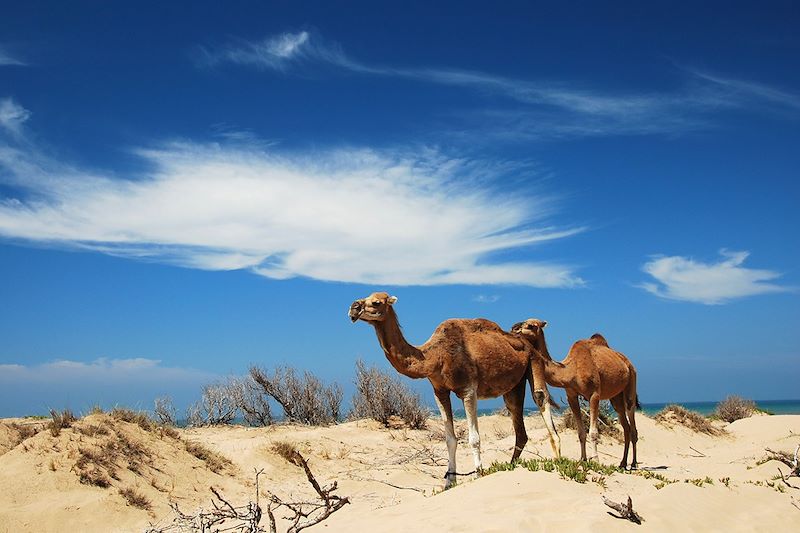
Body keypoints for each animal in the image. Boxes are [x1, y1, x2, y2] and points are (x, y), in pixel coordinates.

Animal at [346, 290, 560, 486]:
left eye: (376, 302)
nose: (353, 308)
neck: (435, 357)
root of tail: (528, 345)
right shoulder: (439, 391)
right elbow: (450, 439)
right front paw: (450, 482)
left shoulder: (468, 389)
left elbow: (474, 437)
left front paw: (479, 474)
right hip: (514, 385)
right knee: (518, 422)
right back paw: (511, 466)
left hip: (534, 362)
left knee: (540, 397)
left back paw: (558, 461)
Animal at [512, 318, 644, 468]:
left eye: (530, 325)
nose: (514, 328)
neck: (570, 370)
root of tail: (628, 363)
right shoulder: (571, 395)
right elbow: (581, 432)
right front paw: (583, 460)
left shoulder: (594, 394)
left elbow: (593, 432)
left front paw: (596, 460)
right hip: (616, 396)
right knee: (625, 425)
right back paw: (622, 463)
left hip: (631, 382)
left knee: (632, 422)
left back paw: (633, 464)